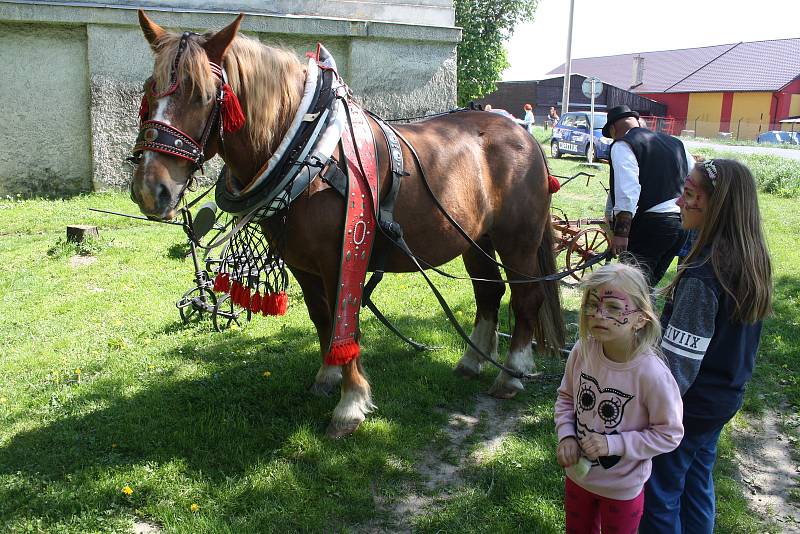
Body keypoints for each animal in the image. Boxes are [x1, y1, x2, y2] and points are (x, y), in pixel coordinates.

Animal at [131, 11, 564, 440]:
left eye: (204, 96)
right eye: (150, 92)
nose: (152, 190)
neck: (312, 154)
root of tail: (525, 135)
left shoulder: (342, 258)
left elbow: (347, 325)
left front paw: (350, 405)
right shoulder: (303, 265)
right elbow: (323, 318)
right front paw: (327, 375)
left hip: (518, 240)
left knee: (525, 297)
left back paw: (512, 374)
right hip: (475, 240)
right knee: (488, 292)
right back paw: (472, 361)